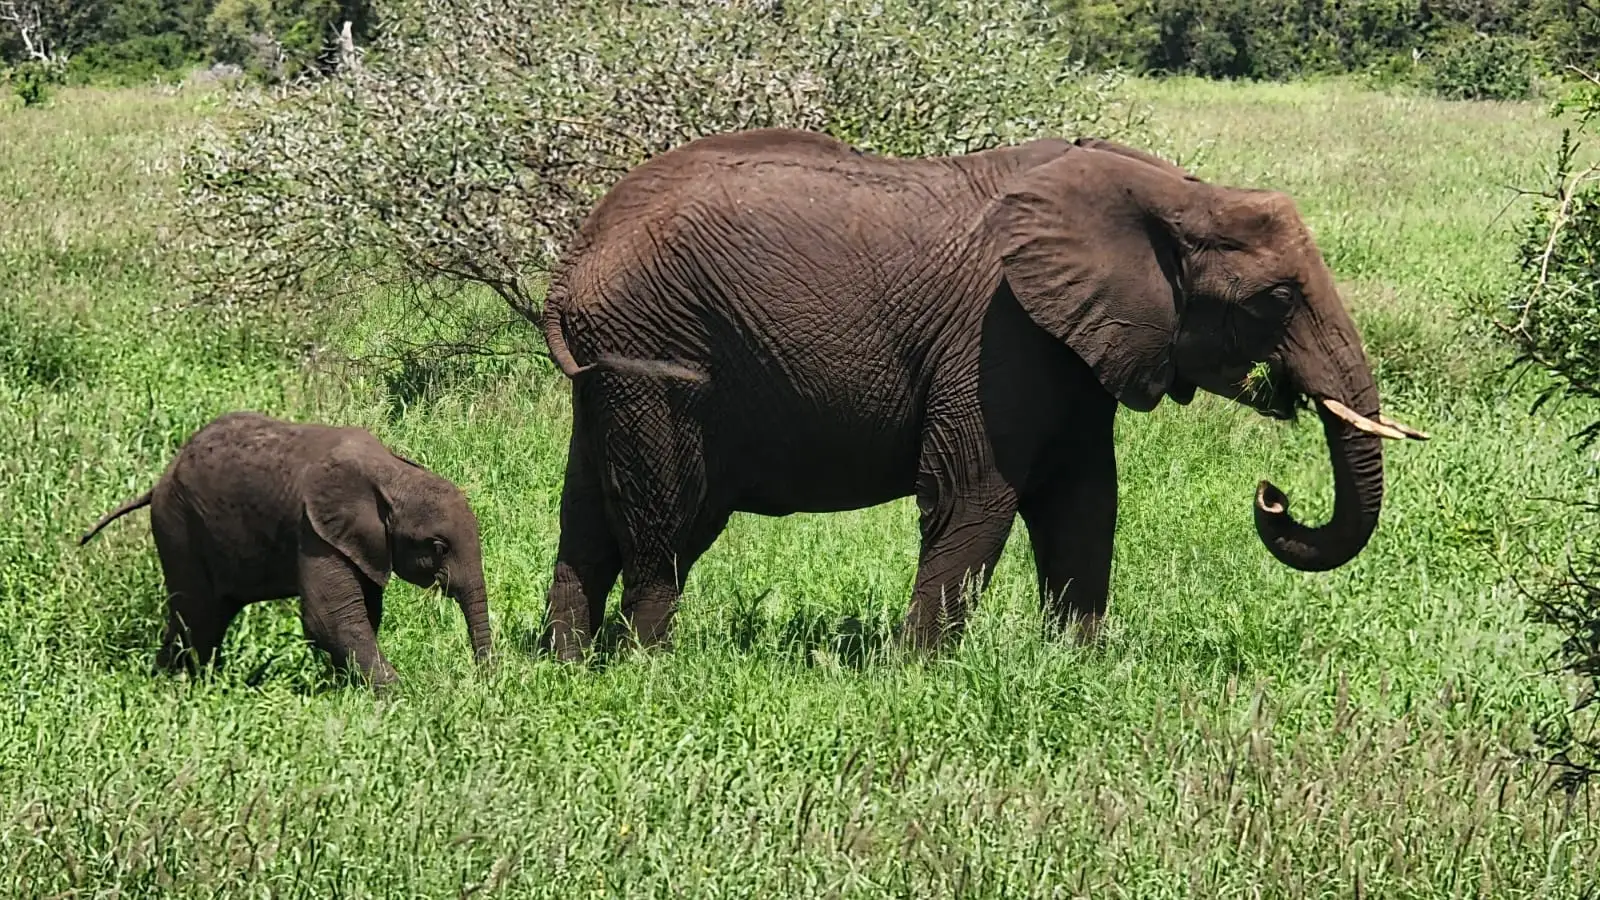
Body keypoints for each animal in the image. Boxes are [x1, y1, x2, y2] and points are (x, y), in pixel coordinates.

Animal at [78, 410, 492, 690]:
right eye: (438, 547)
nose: (482, 684)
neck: (393, 472)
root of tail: (160, 480)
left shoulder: (358, 543)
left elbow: (364, 613)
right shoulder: (314, 530)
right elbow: (329, 618)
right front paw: (400, 695)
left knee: (208, 615)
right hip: (178, 525)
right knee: (195, 613)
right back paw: (175, 685)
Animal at [535, 127, 1427, 660]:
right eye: (1276, 299)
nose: (1274, 497)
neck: (1174, 192)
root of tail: (577, 255)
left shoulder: (1071, 343)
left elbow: (1084, 500)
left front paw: (1078, 663)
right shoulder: (999, 335)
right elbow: (977, 492)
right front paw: (918, 672)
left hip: (611, 366)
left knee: (585, 513)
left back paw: (567, 663)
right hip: (652, 351)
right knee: (668, 517)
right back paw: (650, 665)